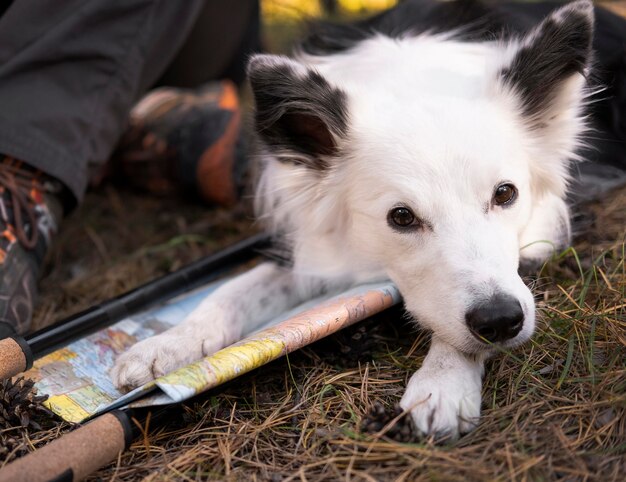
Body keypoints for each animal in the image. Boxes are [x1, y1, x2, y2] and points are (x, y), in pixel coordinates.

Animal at [111, 0, 624, 436]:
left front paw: (442, 382)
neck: (413, 80)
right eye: (401, 217)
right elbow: (235, 288)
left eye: (505, 194)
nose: (500, 321)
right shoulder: (311, 243)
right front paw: (168, 344)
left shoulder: (538, 234)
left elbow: (461, 332)